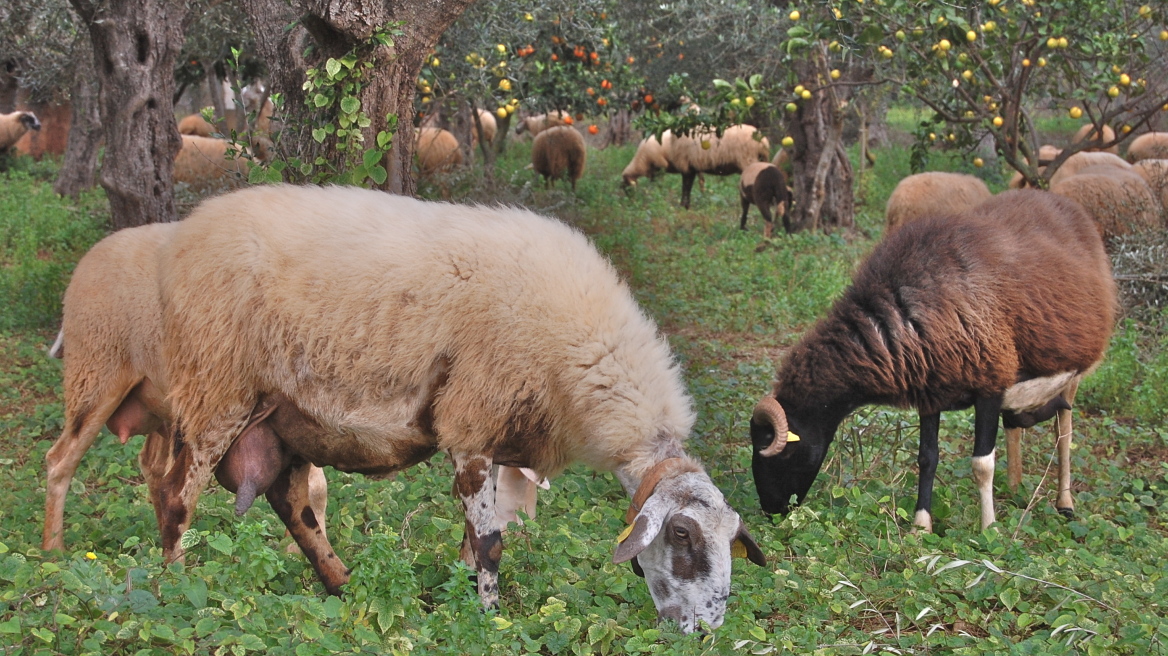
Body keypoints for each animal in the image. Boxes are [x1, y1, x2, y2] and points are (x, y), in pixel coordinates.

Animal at [153, 184, 766, 630]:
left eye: (731, 536)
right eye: (682, 535)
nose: (707, 631)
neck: (584, 356)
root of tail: (189, 230)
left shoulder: (494, 432)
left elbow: (473, 542)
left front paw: (467, 599)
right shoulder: (471, 422)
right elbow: (490, 543)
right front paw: (491, 621)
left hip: (284, 418)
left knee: (292, 504)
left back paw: (341, 584)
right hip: (216, 386)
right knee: (176, 495)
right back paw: (175, 589)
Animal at [747, 189, 1111, 532]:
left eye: (781, 449)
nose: (771, 510)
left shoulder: (990, 386)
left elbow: (982, 464)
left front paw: (989, 529)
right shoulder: (931, 392)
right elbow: (927, 457)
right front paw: (921, 525)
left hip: (1073, 372)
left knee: (1065, 431)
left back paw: (1065, 503)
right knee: (1020, 424)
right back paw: (1014, 485)